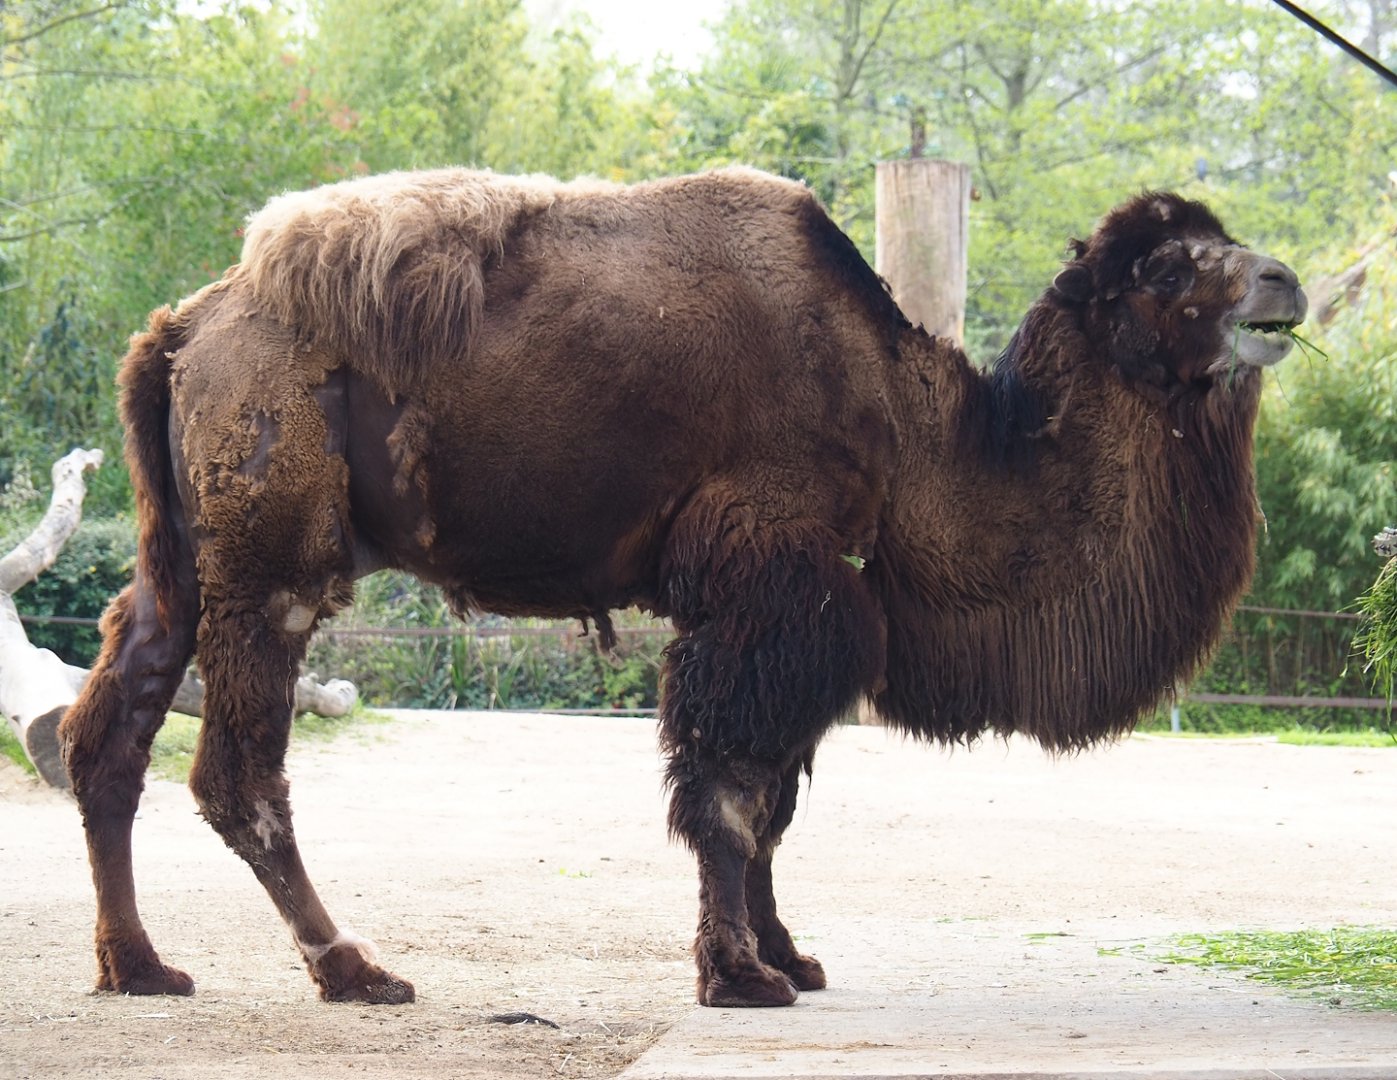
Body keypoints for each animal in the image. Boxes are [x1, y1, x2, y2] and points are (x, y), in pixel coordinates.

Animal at [59, 167, 1306, 1008]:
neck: (903, 421)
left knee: (109, 731)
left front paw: (787, 954)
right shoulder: (765, 588)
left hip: (182, 561)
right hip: (274, 563)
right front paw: (739, 974)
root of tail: (183, 330)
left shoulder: (798, 610)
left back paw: (139, 965)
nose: (1282, 281)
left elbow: (773, 800)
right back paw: (354, 967)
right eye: (1163, 268)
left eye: (1223, 243)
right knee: (236, 774)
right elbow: (730, 791)